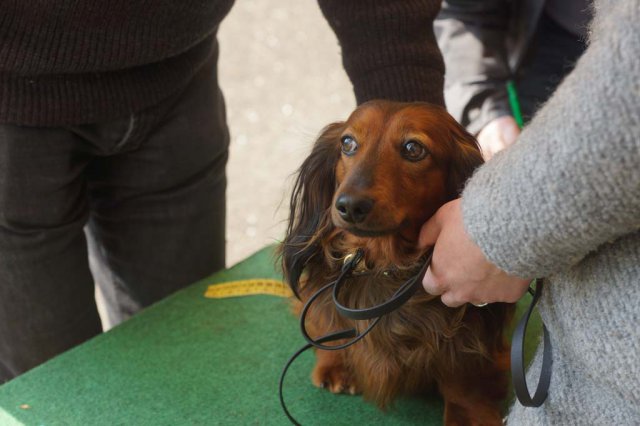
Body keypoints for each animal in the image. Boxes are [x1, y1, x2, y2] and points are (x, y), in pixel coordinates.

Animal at [282, 101, 512, 424]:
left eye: (413, 148)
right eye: (347, 143)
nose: (350, 206)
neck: (385, 266)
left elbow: (460, 373)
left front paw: (468, 412)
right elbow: (325, 318)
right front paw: (334, 359)